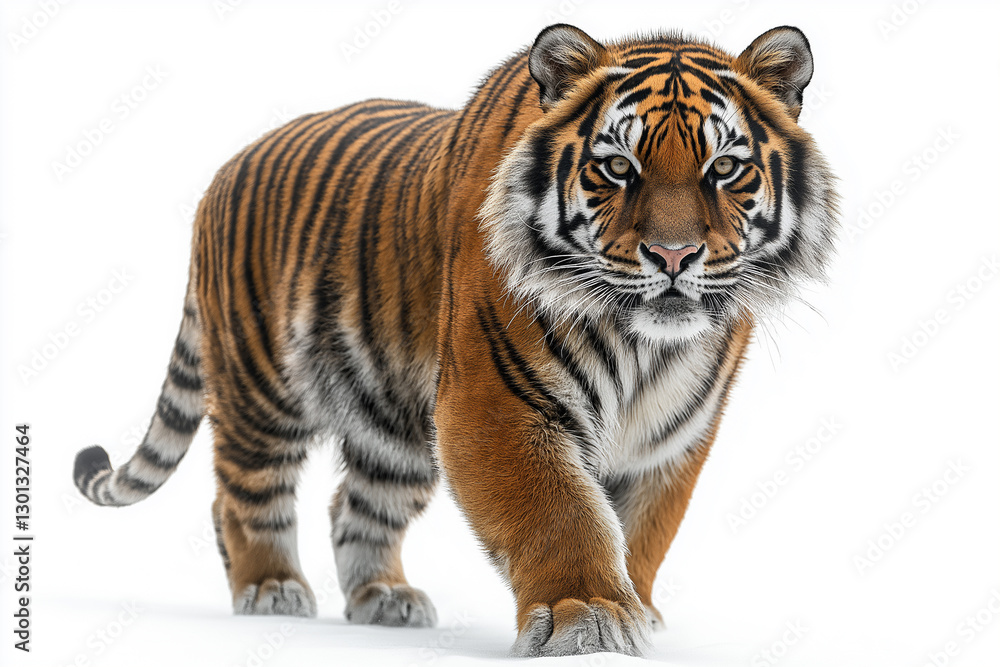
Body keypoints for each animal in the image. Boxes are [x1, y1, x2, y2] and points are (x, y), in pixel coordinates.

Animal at [72, 23, 838, 657]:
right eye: (618, 167)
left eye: (725, 168)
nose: (674, 256)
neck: (647, 348)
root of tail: (224, 169)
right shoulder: (496, 402)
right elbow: (561, 512)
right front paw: (587, 615)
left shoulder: (670, 437)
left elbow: (643, 530)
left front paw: (635, 610)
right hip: (263, 388)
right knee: (241, 493)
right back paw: (269, 588)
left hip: (394, 424)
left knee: (355, 505)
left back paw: (384, 597)